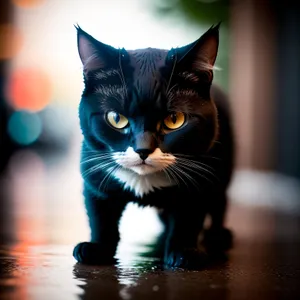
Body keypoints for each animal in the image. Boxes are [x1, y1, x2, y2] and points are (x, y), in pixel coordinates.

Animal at [72, 22, 234, 268]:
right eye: (116, 118)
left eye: (174, 119)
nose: (143, 149)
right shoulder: (94, 169)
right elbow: (100, 215)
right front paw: (97, 248)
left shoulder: (202, 175)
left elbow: (189, 216)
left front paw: (184, 251)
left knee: (220, 200)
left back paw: (218, 235)